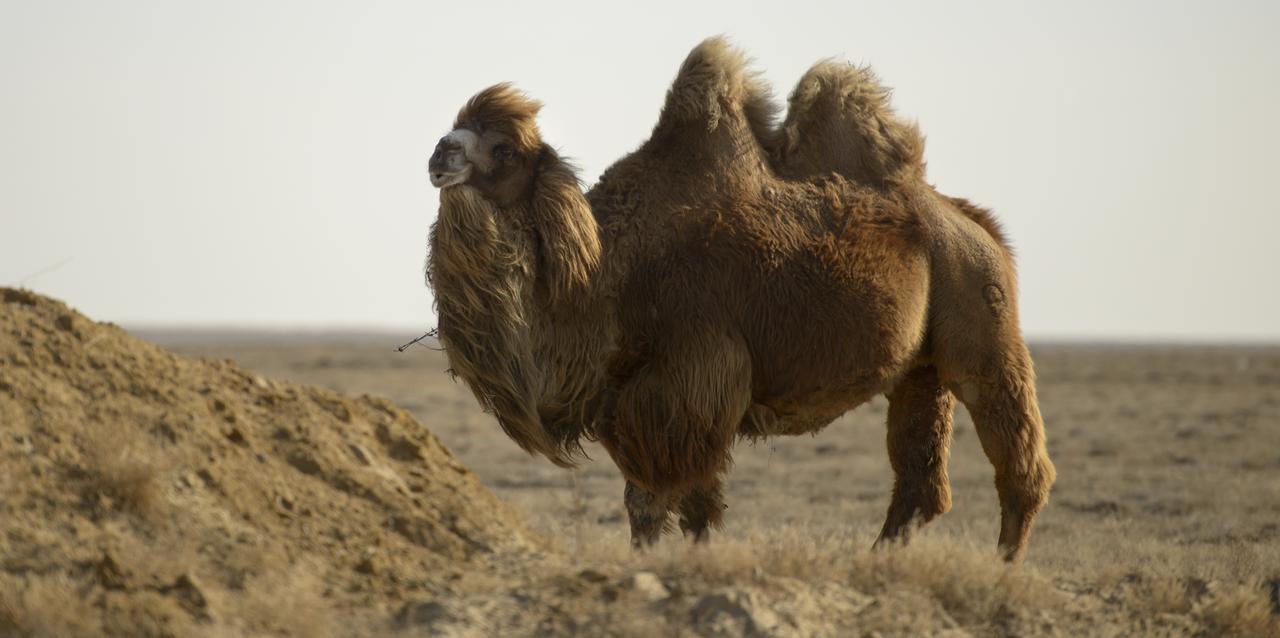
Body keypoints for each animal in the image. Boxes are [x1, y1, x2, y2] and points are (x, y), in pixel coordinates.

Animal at [425, 38, 1056, 562]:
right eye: (458, 127)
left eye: (504, 149)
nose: (439, 153)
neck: (601, 278)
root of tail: (972, 221)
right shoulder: (632, 395)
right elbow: (668, 503)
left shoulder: (692, 379)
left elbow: (666, 500)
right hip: (920, 364)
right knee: (921, 479)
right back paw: (880, 561)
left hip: (980, 310)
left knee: (1017, 453)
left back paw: (1004, 565)